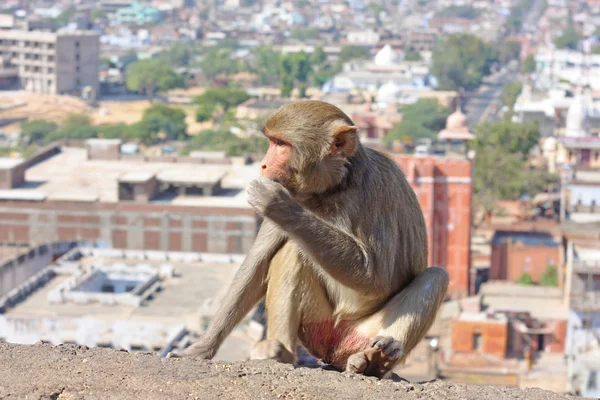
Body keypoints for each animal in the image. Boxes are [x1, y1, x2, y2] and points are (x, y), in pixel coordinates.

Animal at [170, 99, 450, 378]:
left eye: (281, 144)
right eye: (272, 141)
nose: (263, 164)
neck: (335, 188)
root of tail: (335, 349)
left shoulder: (378, 190)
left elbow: (377, 278)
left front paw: (279, 206)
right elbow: (257, 267)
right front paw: (201, 349)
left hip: (362, 334)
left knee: (435, 276)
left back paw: (375, 362)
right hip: (317, 329)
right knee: (291, 252)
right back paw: (280, 352)